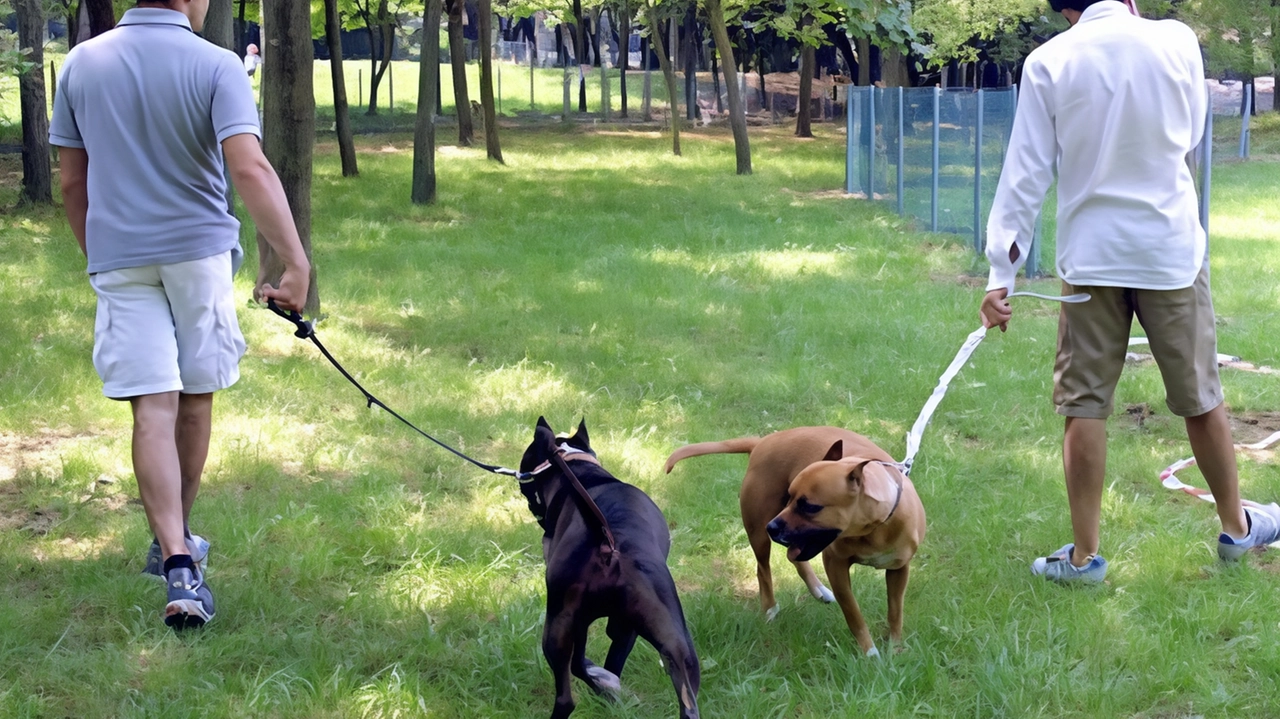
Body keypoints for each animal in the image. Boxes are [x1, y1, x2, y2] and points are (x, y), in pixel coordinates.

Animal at [517, 414, 701, 716]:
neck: (578, 468)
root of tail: (608, 544)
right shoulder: (622, 629)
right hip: (673, 641)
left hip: (561, 623)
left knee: (569, 686)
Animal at [665, 424, 926, 655]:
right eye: (790, 495)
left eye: (809, 506)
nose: (772, 527)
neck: (875, 528)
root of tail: (762, 442)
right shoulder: (836, 567)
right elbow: (854, 614)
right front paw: (870, 653)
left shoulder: (899, 570)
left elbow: (895, 611)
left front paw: (895, 647)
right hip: (758, 534)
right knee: (763, 570)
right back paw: (770, 608)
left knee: (795, 559)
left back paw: (818, 590)